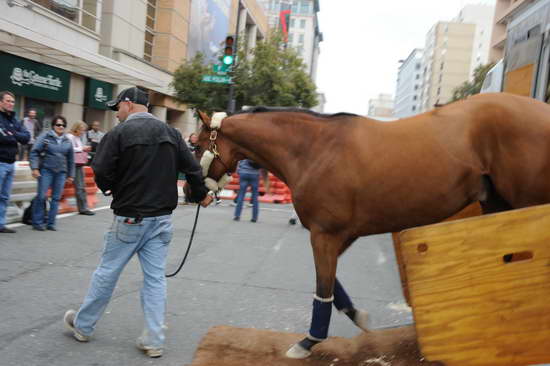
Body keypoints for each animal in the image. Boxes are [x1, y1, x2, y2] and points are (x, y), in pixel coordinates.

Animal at [195, 93, 550, 358]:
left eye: (196, 145)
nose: (191, 192)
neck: (315, 150)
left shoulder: (324, 235)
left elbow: (323, 286)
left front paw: (310, 340)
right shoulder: (340, 234)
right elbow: (332, 286)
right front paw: (356, 315)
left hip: (526, 201)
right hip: (497, 203)